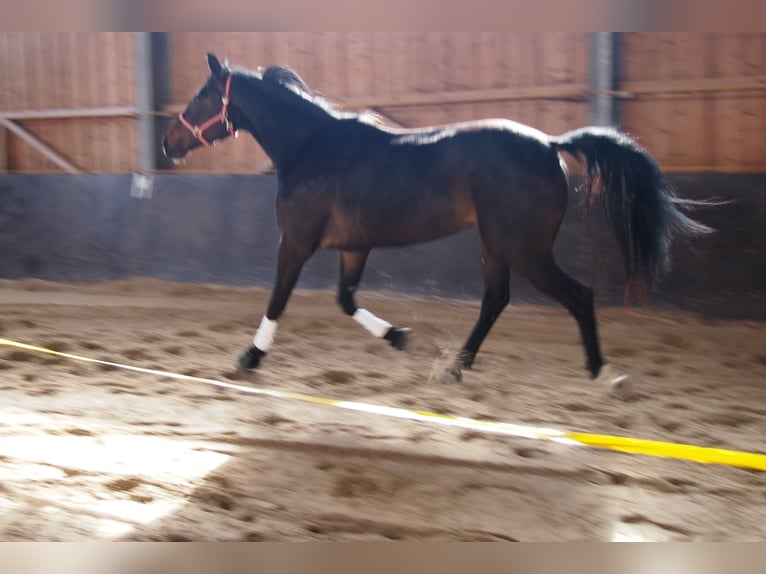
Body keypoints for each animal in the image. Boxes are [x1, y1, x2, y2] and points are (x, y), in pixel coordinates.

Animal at [162, 53, 711, 399]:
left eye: (201, 98)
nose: (168, 143)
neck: (311, 148)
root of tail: (551, 144)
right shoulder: (353, 247)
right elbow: (345, 300)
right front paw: (400, 336)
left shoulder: (295, 242)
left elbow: (278, 299)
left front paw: (249, 358)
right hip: (496, 245)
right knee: (495, 301)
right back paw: (454, 368)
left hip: (523, 248)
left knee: (577, 296)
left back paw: (603, 375)